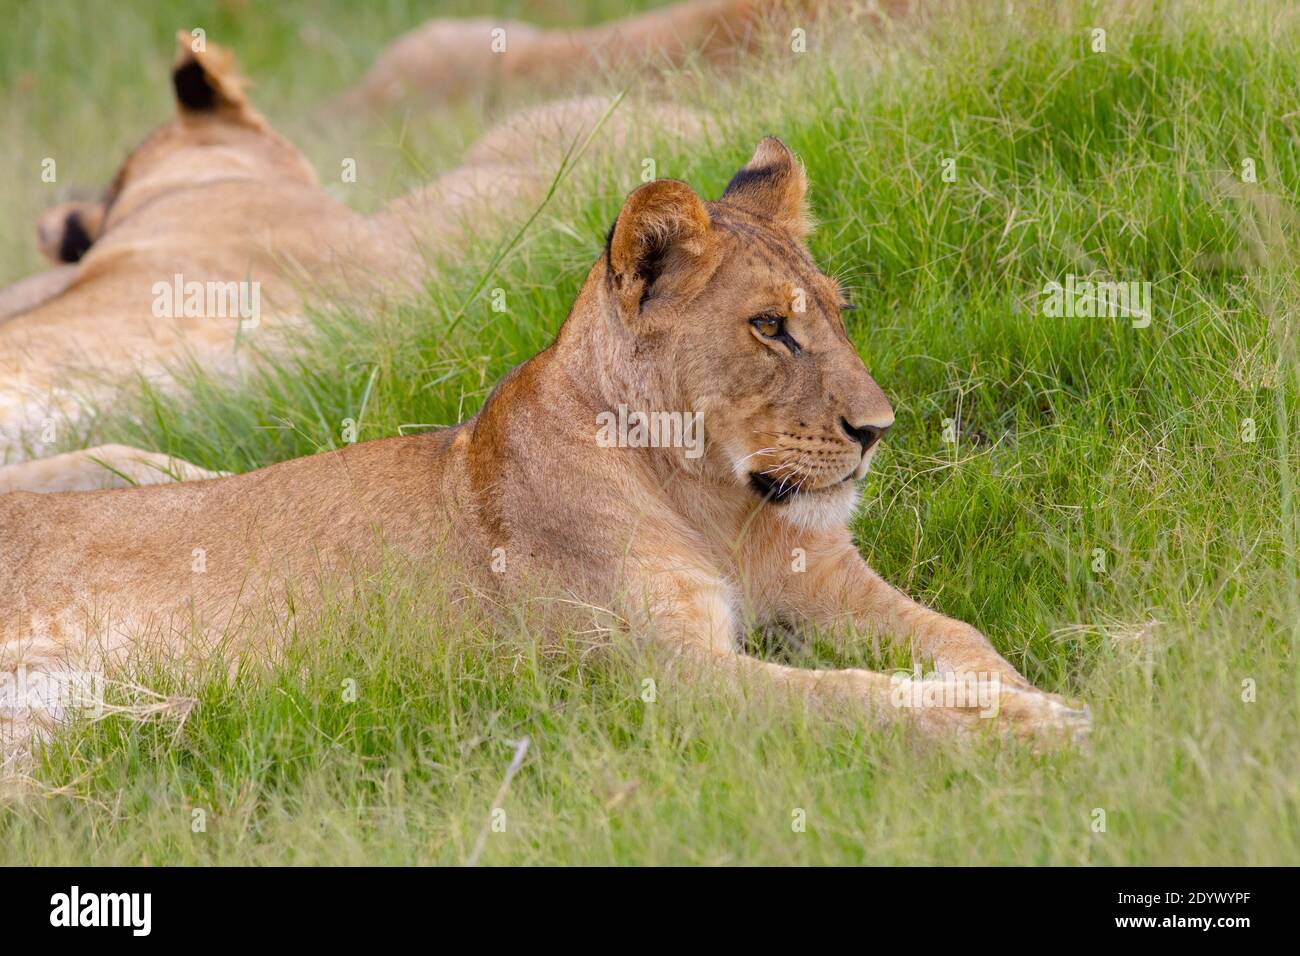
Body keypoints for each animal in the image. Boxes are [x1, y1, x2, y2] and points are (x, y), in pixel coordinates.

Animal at [0, 139, 1091, 771]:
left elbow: (961, 639)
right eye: (769, 327)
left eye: (835, 311)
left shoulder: (828, 582)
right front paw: (1036, 728)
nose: (878, 428)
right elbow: (858, 700)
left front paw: (1029, 690)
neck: (715, 503)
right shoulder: (666, 678)